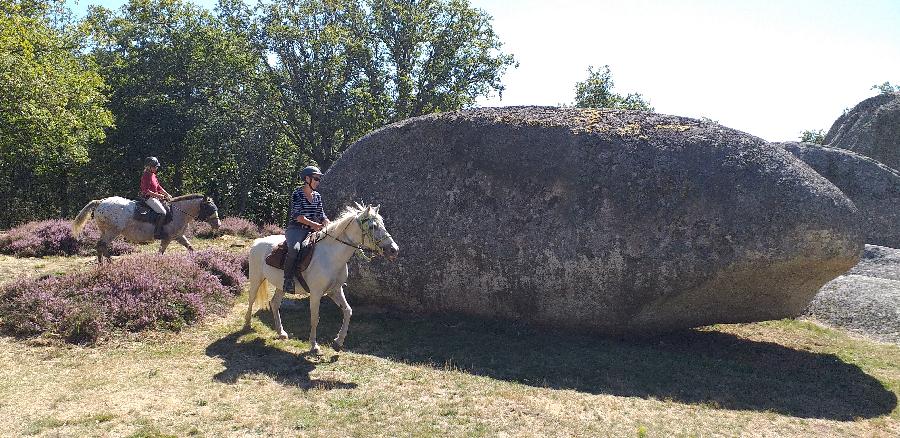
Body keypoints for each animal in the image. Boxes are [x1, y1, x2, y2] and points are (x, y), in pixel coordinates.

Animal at [71, 195, 222, 264]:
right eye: (210, 208)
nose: (218, 224)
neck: (178, 212)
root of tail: (101, 202)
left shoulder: (178, 236)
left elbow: (190, 248)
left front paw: (198, 260)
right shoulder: (167, 238)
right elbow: (160, 253)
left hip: (105, 232)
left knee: (100, 246)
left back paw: (102, 264)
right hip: (112, 232)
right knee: (102, 245)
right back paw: (110, 263)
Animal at [246, 204, 400, 354]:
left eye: (382, 224)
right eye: (373, 226)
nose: (394, 250)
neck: (331, 256)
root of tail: (258, 241)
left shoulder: (335, 290)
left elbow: (348, 311)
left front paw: (338, 342)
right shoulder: (316, 293)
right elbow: (315, 318)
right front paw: (314, 346)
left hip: (281, 286)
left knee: (274, 303)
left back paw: (281, 332)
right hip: (256, 279)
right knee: (252, 299)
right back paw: (247, 324)